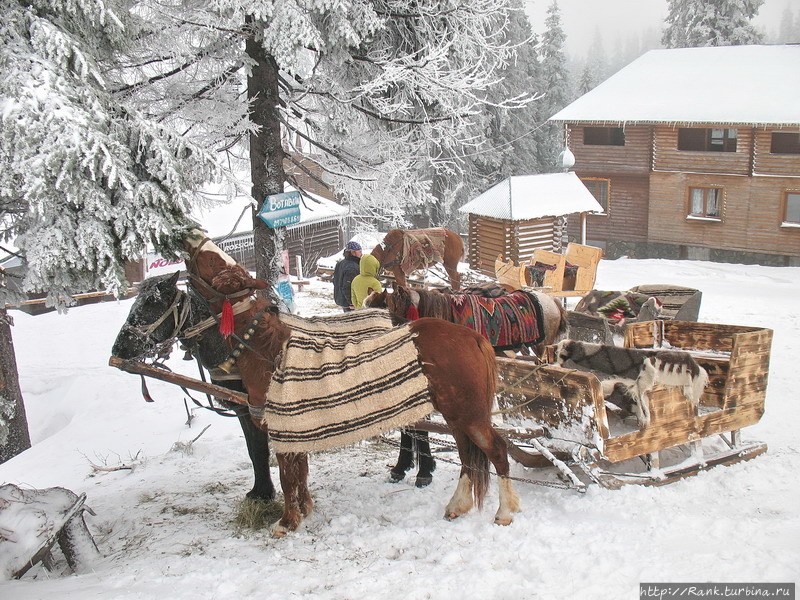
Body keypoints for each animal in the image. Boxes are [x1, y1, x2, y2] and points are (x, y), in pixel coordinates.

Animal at [110, 272, 276, 502]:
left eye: (151, 303)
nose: (118, 349)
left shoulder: (255, 410)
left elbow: (261, 449)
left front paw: (265, 493)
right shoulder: (243, 410)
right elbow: (253, 449)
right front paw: (260, 491)